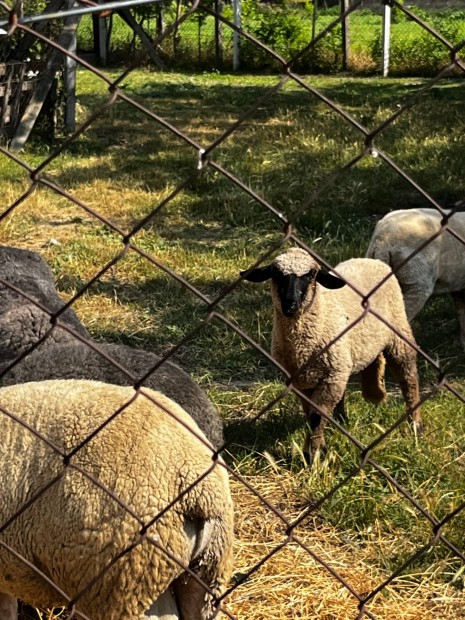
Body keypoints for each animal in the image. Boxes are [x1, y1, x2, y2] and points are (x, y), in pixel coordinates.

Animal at [241, 247, 422, 464]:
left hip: (398, 333)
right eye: (276, 274)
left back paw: (415, 426)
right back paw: (342, 422)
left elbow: (316, 417)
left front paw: (313, 455)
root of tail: (372, 260)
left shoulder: (330, 376)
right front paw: (316, 448)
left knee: (408, 379)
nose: (290, 305)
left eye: (311, 274)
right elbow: (309, 415)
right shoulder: (302, 381)